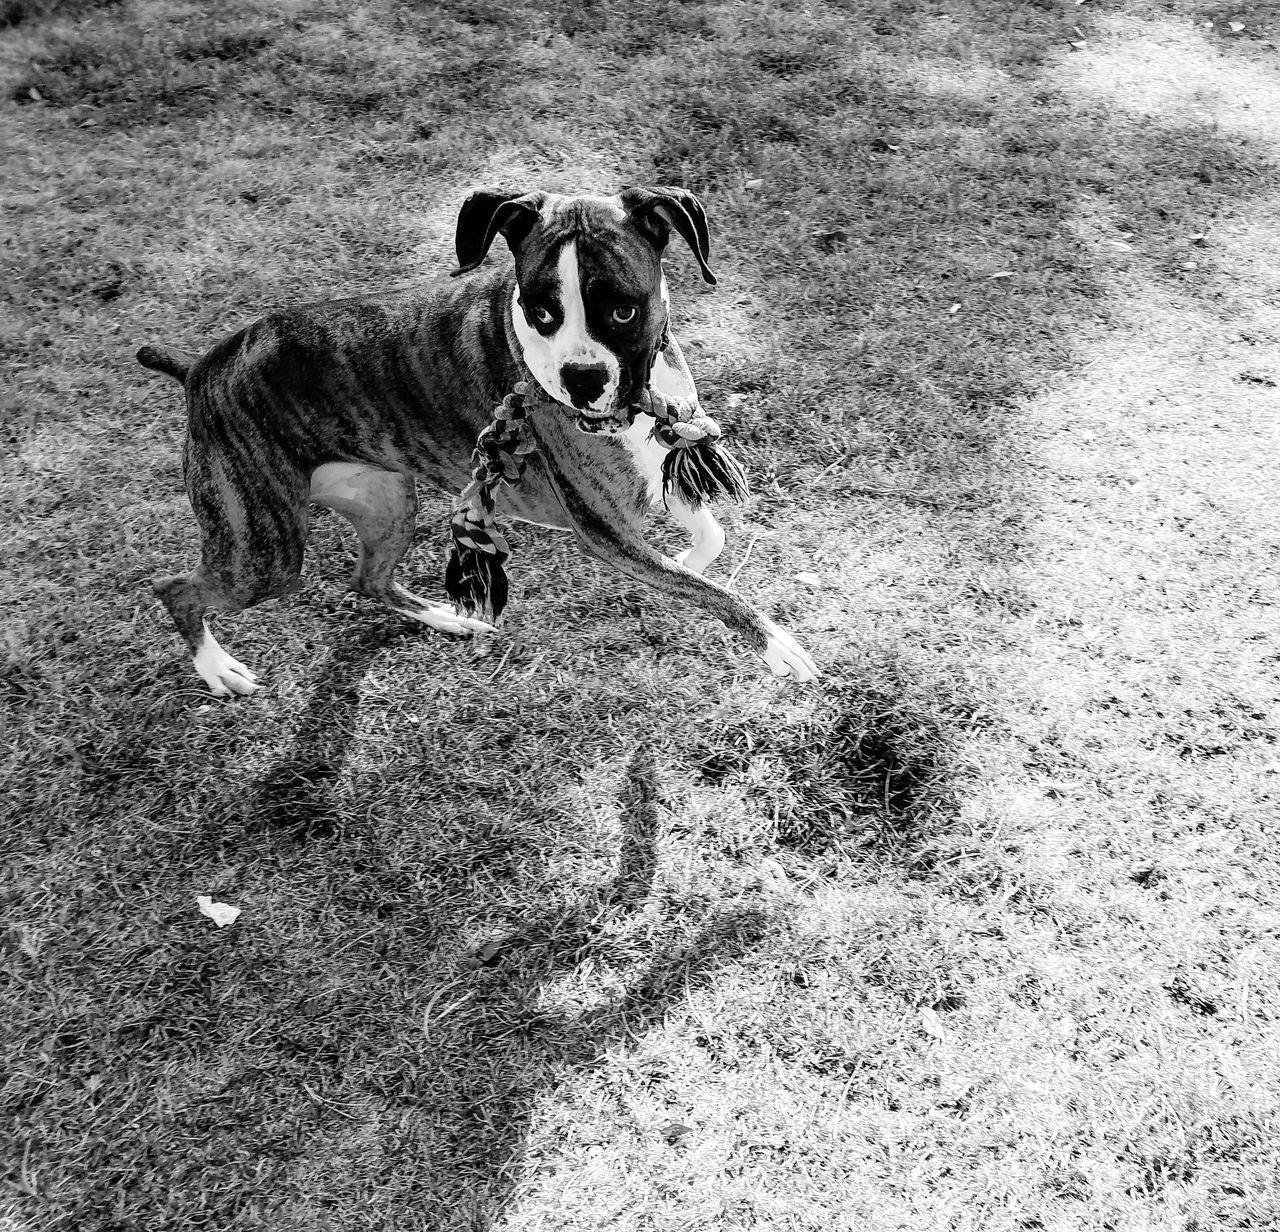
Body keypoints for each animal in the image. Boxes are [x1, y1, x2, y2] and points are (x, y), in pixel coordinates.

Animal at [137, 186, 819, 696]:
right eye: (540, 311)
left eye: (622, 311)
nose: (581, 378)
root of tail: (201, 369)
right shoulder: (607, 532)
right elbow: (716, 589)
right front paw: (774, 642)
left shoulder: (662, 465)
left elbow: (709, 537)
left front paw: (688, 560)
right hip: (264, 558)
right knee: (174, 589)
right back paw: (218, 669)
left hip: (386, 505)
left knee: (368, 581)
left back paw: (450, 619)